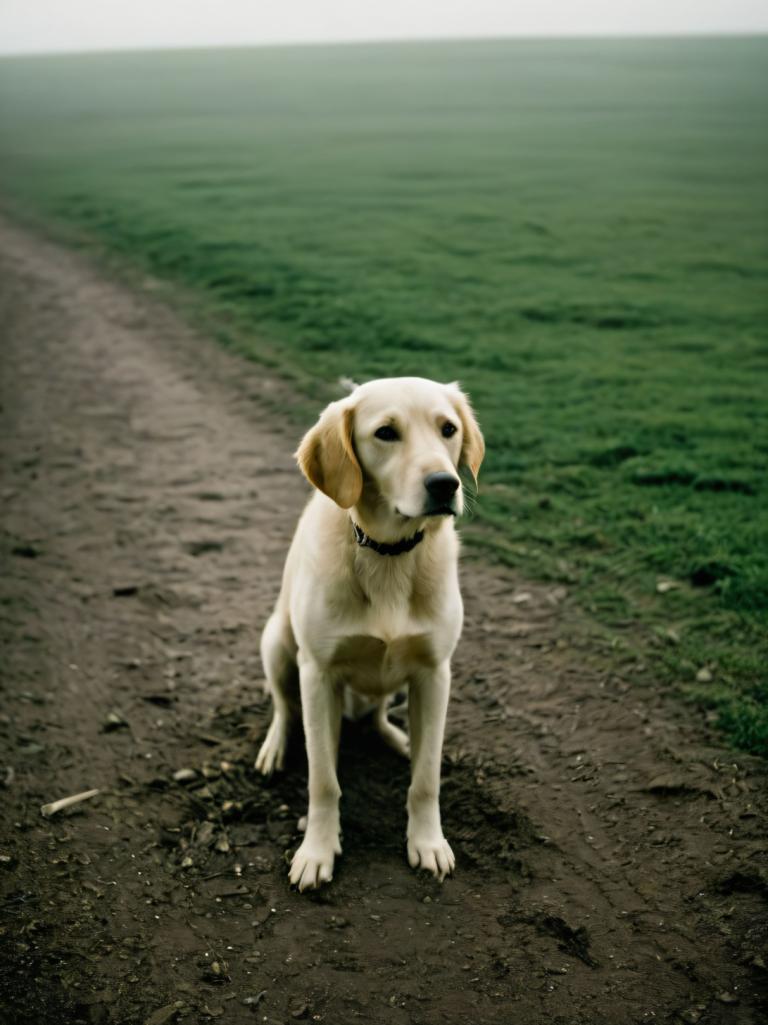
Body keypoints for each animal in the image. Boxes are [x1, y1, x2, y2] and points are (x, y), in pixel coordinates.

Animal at [257, 377, 486, 889]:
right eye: (385, 433)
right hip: (277, 643)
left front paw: (428, 842)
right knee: (284, 707)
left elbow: (426, 779)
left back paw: (399, 738)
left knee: (381, 713)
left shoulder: (435, 674)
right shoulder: (317, 674)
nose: (445, 484)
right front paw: (317, 851)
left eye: (448, 429)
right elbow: (323, 779)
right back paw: (275, 747)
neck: (388, 552)